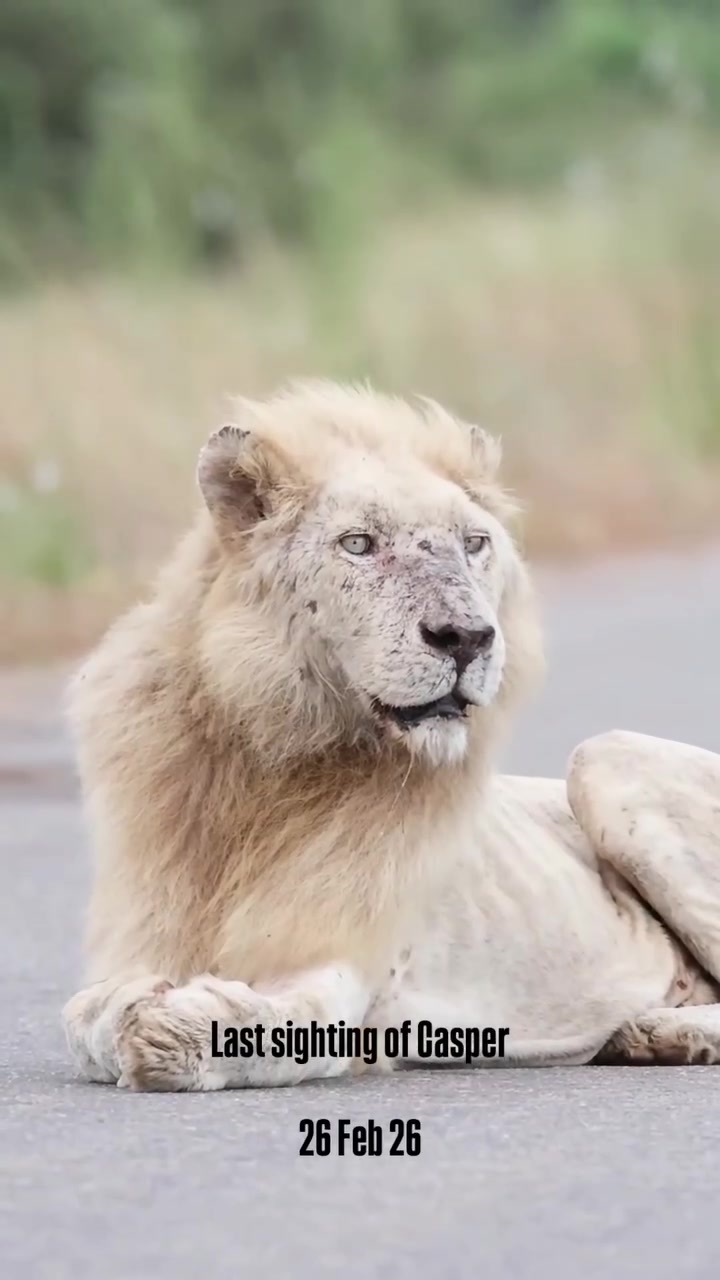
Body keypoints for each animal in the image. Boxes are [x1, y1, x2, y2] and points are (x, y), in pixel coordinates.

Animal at [63, 380, 720, 1090]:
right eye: (359, 543)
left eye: (474, 543)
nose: (467, 637)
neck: (271, 759)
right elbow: (83, 1018)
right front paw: (129, 1010)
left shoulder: (343, 970)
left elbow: (262, 1022)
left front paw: (171, 1029)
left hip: (604, 756)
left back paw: (660, 1032)